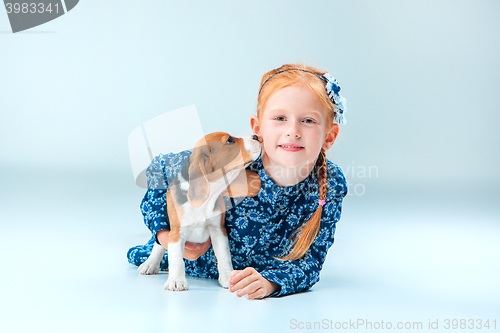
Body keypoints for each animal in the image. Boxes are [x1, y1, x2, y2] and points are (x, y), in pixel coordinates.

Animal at [138, 131, 262, 290]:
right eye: (229, 140)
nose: (256, 137)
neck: (209, 197)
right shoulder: (177, 232)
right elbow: (176, 258)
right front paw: (176, 280)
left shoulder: (218, 230)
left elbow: (224, 256)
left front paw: (228, 278)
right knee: (159, 244)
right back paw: (150, 264)